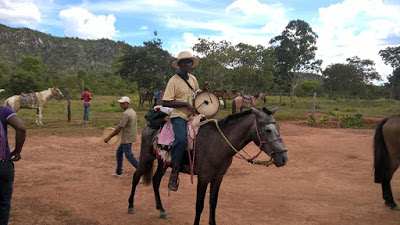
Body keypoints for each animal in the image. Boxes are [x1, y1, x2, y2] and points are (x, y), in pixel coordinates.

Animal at [128, 106, 288, 224]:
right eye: (268, 130)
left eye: (279, 128)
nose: (284, 158)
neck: (218, 143)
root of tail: (149, 126)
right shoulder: (203, 178)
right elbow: (199, 205)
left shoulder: (218, 178)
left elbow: (213, 202)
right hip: (145, 158)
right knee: (136, 177)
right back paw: (130, 206)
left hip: (163, 163)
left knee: (155, 181)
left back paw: (161, 210)